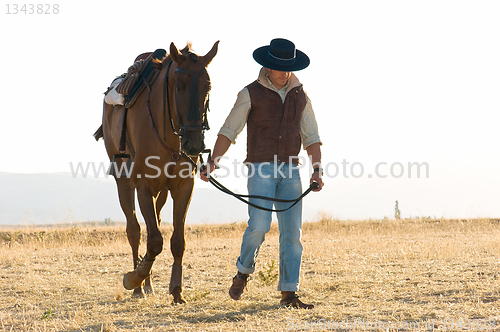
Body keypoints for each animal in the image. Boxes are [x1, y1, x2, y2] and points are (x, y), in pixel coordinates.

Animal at [100, 40, 219, 302]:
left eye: (208, 86)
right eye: (179, 86)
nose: (194, 144)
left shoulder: (183, 187)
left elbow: (177, 240)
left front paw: (176, 290)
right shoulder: (143, 187)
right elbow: (153, 240)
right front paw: (134, 277)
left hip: (161, 192)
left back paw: (148, 284)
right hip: (124, 182)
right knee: (134, 230)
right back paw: (139, 286)